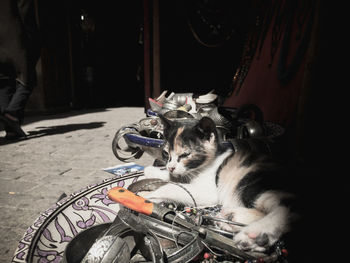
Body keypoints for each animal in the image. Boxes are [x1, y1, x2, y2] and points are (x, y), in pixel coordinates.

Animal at [143, 115, 296, 254]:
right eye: (165, 153)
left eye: (185, 155)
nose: (170, 167)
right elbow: (175, 180)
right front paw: (152, 171)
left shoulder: (209, 192)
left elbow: (172, 187)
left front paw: (149, 195)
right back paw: (230, 219)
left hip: (252, 180)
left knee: (287, 208)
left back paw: (257, 235)